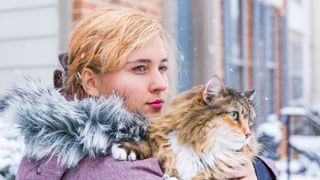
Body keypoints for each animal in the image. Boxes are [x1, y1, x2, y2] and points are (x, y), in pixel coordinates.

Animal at [112, 76, 260, 180]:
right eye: (234, 115)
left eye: (250, 121)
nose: (248, 134)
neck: (201, 147)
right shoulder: (163, 141)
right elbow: (147, 144)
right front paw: (125, 149)